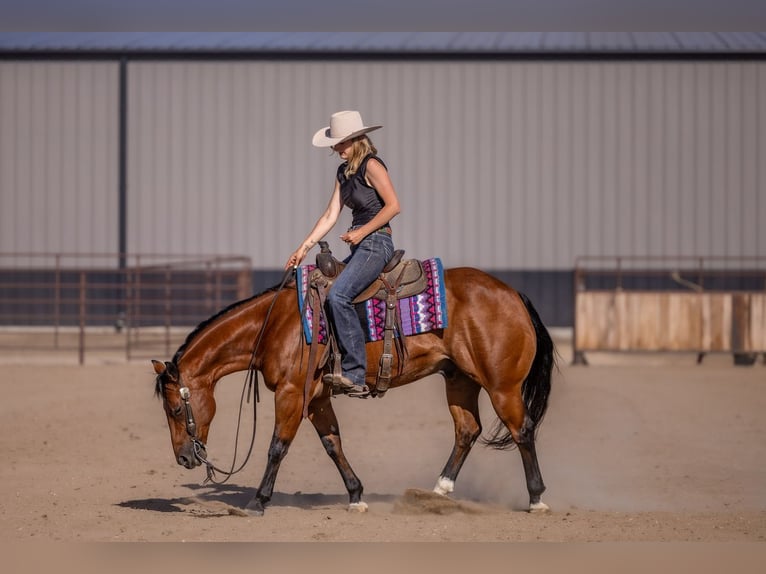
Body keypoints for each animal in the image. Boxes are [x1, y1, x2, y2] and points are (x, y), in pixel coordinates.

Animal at [152, 266, 555, 516]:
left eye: (175, 409)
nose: (184, 459)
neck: (276, 325)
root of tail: (513, 294)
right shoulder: (316, 397)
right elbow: (333, 443)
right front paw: (356, 495)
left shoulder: (291, 393)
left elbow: (277, 447)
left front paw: (258, 501)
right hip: (459, 380)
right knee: (467, 430)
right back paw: (437, 490)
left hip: (502, 387)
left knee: (522, 430)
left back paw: (536, 499)